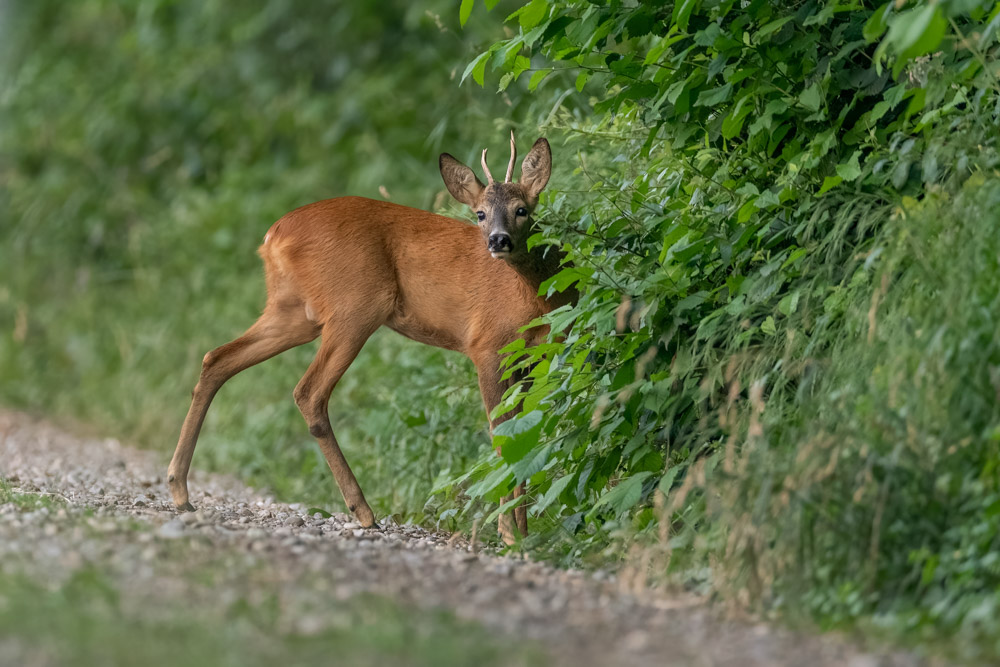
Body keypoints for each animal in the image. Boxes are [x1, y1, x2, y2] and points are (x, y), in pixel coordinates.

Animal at [166, 132, 570, 544]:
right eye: (480, 214)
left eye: (522, 209)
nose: (498, 241)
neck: (534, 297)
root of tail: (273, 236)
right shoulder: (486, 345)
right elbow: (502, 433)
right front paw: (510, 534)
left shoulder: (536, 352)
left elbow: (527, 430)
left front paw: (524, 531)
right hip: (355, 306)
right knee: (308, 392)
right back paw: (363, 512)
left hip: (293, 310)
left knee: (217, 358)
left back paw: (180, 490)